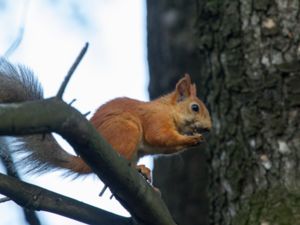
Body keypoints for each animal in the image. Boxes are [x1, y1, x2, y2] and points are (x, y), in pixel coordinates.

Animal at [0, 58, 212, 181]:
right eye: (195, 107)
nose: (209, 128)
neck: (169, 110)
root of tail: (85, 161)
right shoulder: (156, 119)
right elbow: (160, 136)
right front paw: (191, 139)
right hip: (127, 130)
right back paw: (138, 169)